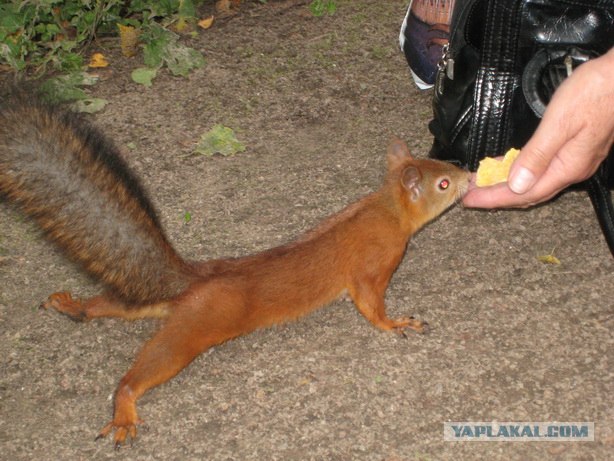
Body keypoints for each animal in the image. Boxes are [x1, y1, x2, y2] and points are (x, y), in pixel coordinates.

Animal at [1, 89, 472, 446]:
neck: (388, 208)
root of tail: (194, 281)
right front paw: (397, 324)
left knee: (110, 305)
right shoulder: (373, 265)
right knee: (142, 371)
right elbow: (371, 305)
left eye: (445, 166)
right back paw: (124, 411)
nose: (469, 175)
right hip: (195, 327)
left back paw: (74, 307)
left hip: (157, 307)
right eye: (443, 183)